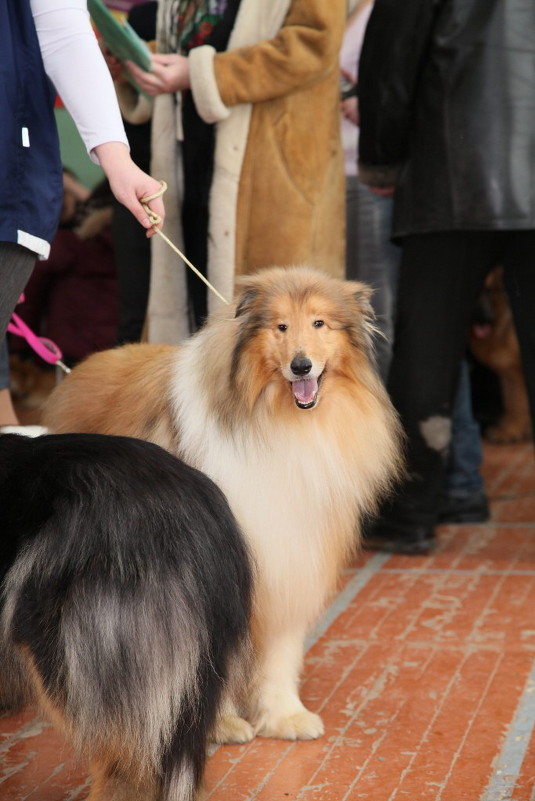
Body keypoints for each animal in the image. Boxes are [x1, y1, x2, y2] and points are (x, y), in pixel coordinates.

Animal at [44, 268, 404, 744]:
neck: (276, 420)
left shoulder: (290, 554)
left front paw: (285, 716)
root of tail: (79, 367)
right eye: (280, 326)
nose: (301, 365)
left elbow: (280, 652)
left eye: (319, 323)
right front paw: (222, 724)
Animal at [472, 268, 528, 444]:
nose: (487, 317)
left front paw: (512, 431)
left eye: (489, 290)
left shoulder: (519, 370)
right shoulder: (507, 374)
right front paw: (508, 428)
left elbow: (518, 403)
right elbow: (510, 403)